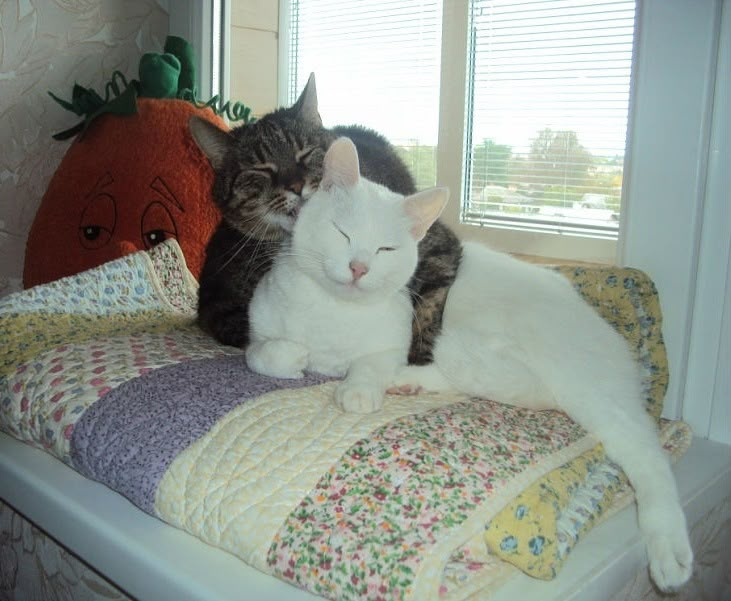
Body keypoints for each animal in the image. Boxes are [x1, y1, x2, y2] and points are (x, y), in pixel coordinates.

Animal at [192, 72, 460, 358]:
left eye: (305, 153)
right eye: (260, 169)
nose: (296, 186)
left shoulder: (439, 248)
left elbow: (427, 308)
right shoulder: (223, 309)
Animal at [249, 137, 448, 412]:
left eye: (386, 249)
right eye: (343, 233)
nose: (359, 268)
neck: (336, 308)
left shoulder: (392, 345)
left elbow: (370, 364)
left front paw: (358, 390)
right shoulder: (256, 329)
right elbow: (258, 354)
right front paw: (290, 354)